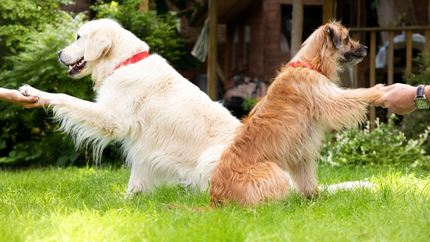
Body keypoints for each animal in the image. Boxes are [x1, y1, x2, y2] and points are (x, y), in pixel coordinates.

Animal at [20, 19, 240, 195]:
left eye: (78, 37)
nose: (58, 53)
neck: (125, 63)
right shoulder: (144, 145)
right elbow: (136, 179)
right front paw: (128, 203)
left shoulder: (111, 118)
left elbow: (65, 97)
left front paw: (34, 92)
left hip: (210, 157)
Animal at [210, 21, 384, 206]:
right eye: (346, 39)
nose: (366, 47)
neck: (311, 64)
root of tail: (216, 200)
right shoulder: (329, 98)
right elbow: (354, 95)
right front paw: (375, 90)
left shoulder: (301, 152)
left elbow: (306, 178)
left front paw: (314, 198)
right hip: (272, 170)